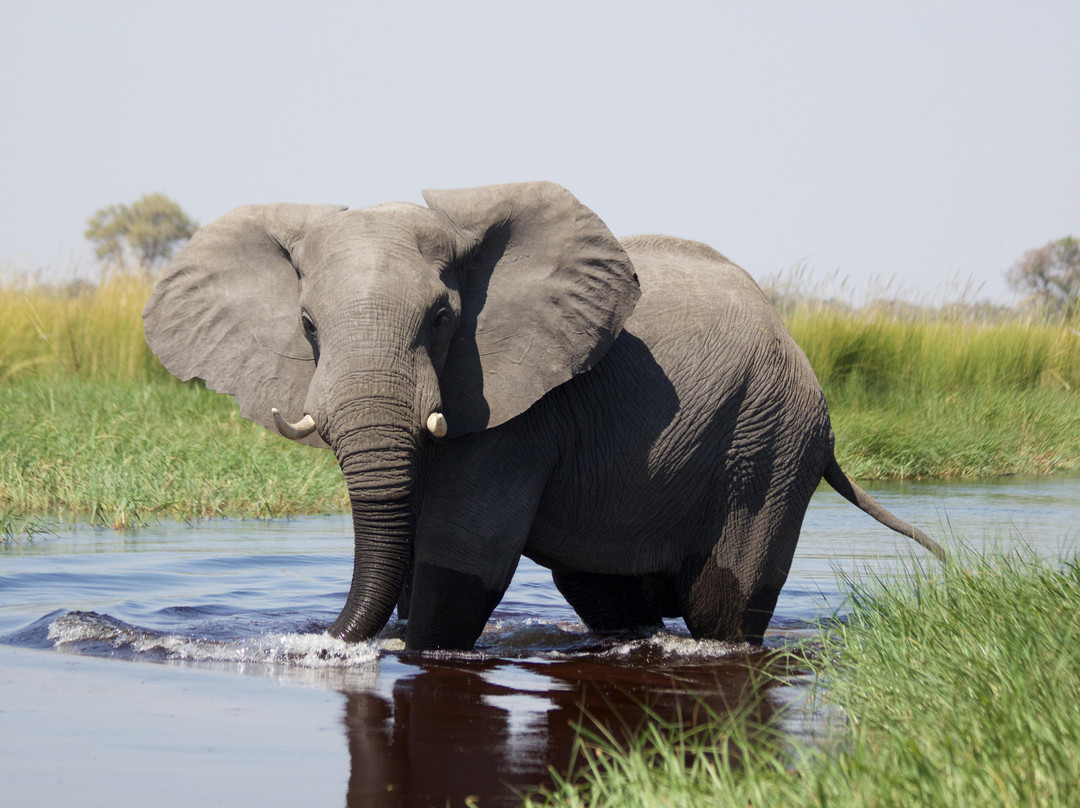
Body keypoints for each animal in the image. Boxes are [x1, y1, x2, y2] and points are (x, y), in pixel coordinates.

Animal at [143, 181, 946, 648]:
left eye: (443, 319)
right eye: (308, 327)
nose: (325, 642)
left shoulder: (517, 410)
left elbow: (461, 555)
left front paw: (409, 650)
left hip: (770, 442)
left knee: (723, 606)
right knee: (605, 595)